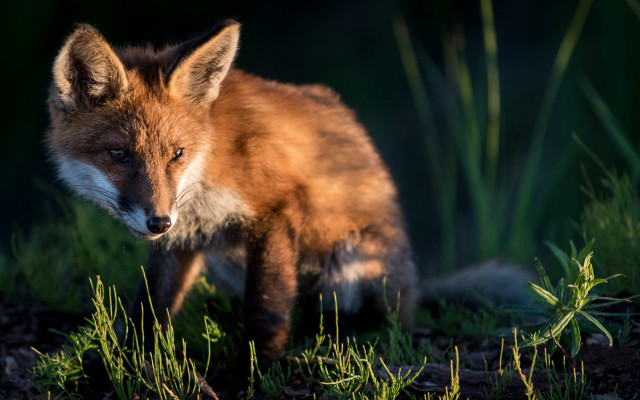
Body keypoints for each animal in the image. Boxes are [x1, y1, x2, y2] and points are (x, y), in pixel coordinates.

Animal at [46, 20, 418, 362]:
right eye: (119, 154)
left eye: (177, 154)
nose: (159, 222)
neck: (206, 167)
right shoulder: (182, 235)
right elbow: (151, 304)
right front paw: (133, 358)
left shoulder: (276, 207)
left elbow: (265, 305)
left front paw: (257, 367)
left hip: (353, 262)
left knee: (364, 318)